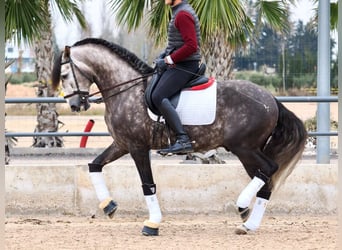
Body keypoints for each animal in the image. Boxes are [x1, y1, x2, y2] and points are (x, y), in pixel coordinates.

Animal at [52, 38, 306, 235]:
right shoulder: (122, 144)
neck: (125, 90)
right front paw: (109, 206)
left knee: (270, 169)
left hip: (245, 148)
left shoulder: (137, 147)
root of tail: (271, 99)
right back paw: (248, 223)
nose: (75, 105)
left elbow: (148, 185)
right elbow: (94, 165)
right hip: (248, 151)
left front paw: (152, 224)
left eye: (64, 75)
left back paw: (243, 206)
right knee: (265, 180)